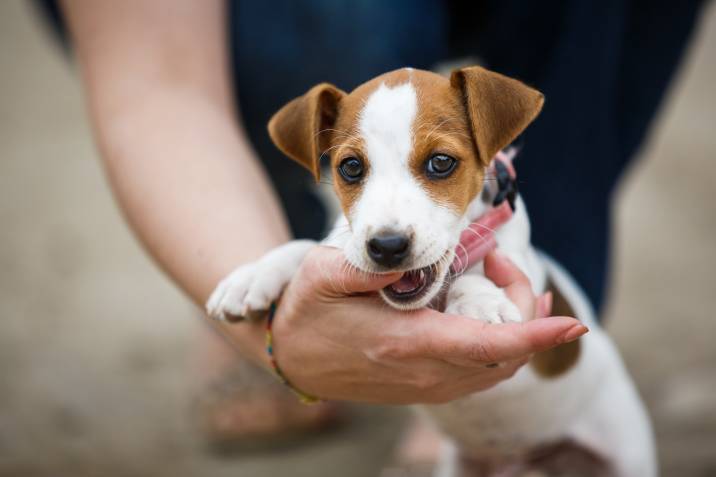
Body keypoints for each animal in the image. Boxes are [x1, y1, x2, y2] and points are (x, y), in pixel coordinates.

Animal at [204, 68, 656, 476]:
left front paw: (479, 303)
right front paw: (251, 276)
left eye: (441, 162)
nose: (387, 246)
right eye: (351, 167)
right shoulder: (342, 249)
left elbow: (477, 273)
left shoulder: (521, 268)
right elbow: (305, 248)